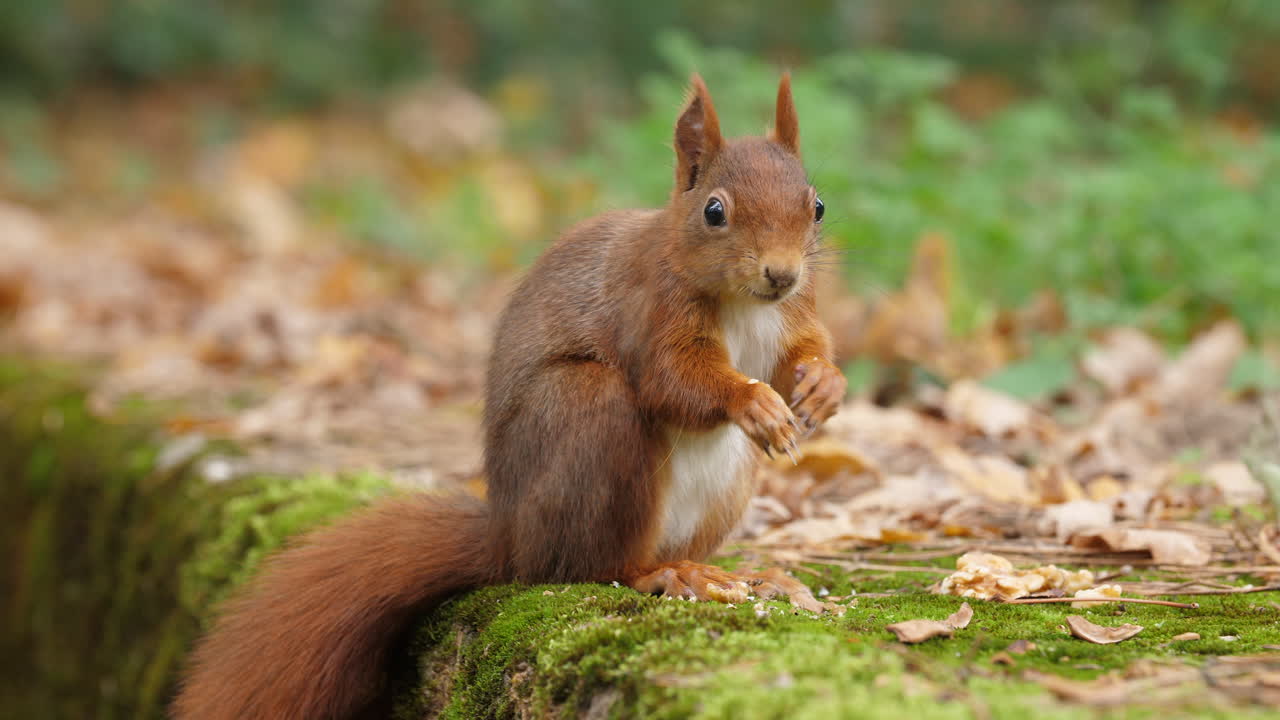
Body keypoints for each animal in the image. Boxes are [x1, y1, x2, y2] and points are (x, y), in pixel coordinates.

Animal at [173, 73, 847, 720]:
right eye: (713, 212)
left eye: (816, 206)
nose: (781, 274)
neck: (744, 304)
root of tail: (509, 538)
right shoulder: (652, 309)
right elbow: (673, 380)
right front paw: (751, 402)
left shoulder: (793, 314)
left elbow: (797, 357)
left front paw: (825, 385)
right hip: (589, 417)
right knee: (593, 565)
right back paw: (666, 573)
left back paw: (747, 575)